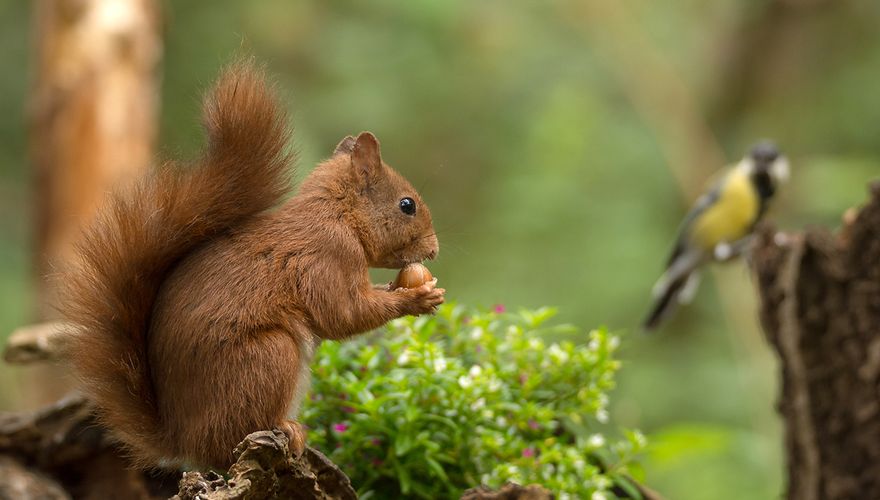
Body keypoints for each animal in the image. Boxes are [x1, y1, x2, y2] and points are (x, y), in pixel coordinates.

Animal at [61, 60, 444, 470]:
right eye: (407, 205)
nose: (435, 250)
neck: (339, 215)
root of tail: (183, 442)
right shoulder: (328, 256)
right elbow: (343, 314)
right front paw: (417, 299)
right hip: (269, 355)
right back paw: (288, 430)